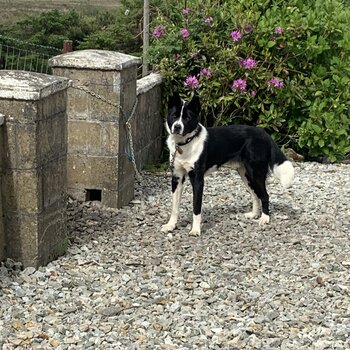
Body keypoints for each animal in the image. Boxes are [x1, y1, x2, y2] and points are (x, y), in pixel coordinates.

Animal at [163, 93, 294, 235]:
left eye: (187, 118)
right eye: (174, 116)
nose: (177, 127)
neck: (185, 143)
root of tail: (264, 133)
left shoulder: (197, 179)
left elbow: (196, 207)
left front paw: (196, 230)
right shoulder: (177, 177)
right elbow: (174, 207)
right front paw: (171, 225)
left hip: (255, 173)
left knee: (265, 195)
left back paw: (264, 218)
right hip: (245, 174)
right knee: (255, 195)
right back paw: (253, 214)